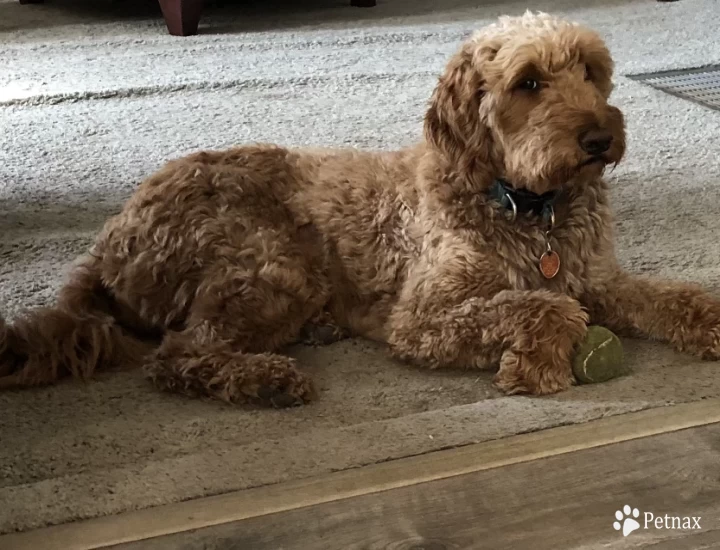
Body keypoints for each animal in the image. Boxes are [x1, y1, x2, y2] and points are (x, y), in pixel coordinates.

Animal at [1, 11, 720, 406]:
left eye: (591, 71)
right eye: (529, 82)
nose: (600, 138)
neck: (525, 203)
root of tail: (109, 239)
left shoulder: (598, 278)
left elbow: (670, 297)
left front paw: (710, 321)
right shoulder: (420, 318)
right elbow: (544, 306)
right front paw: (537, 361)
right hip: (272, 263)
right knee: (178, 354)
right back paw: (265, 379)